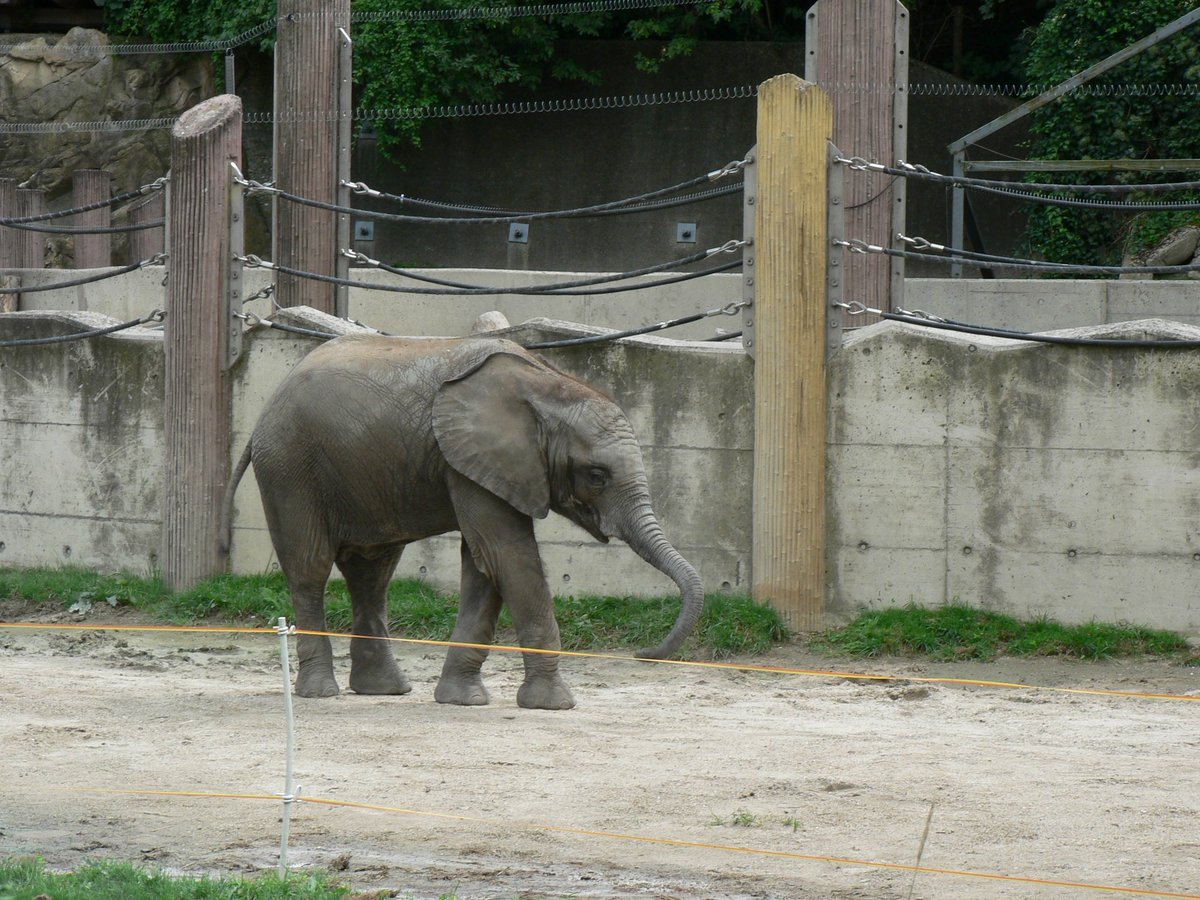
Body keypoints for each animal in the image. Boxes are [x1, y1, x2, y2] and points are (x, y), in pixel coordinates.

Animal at [221, 334, 705, 709]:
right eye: (597, 475)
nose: (642, 652)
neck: (546, 385)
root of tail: (266, 407)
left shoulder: (485, 468)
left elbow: (484, 563)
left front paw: (463, 700)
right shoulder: (473, 460)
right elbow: (507, 554)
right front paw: (554, 704)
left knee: (372, 573)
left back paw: (385, 691)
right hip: (290, 467)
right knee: (310, 570)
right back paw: (321, 692)